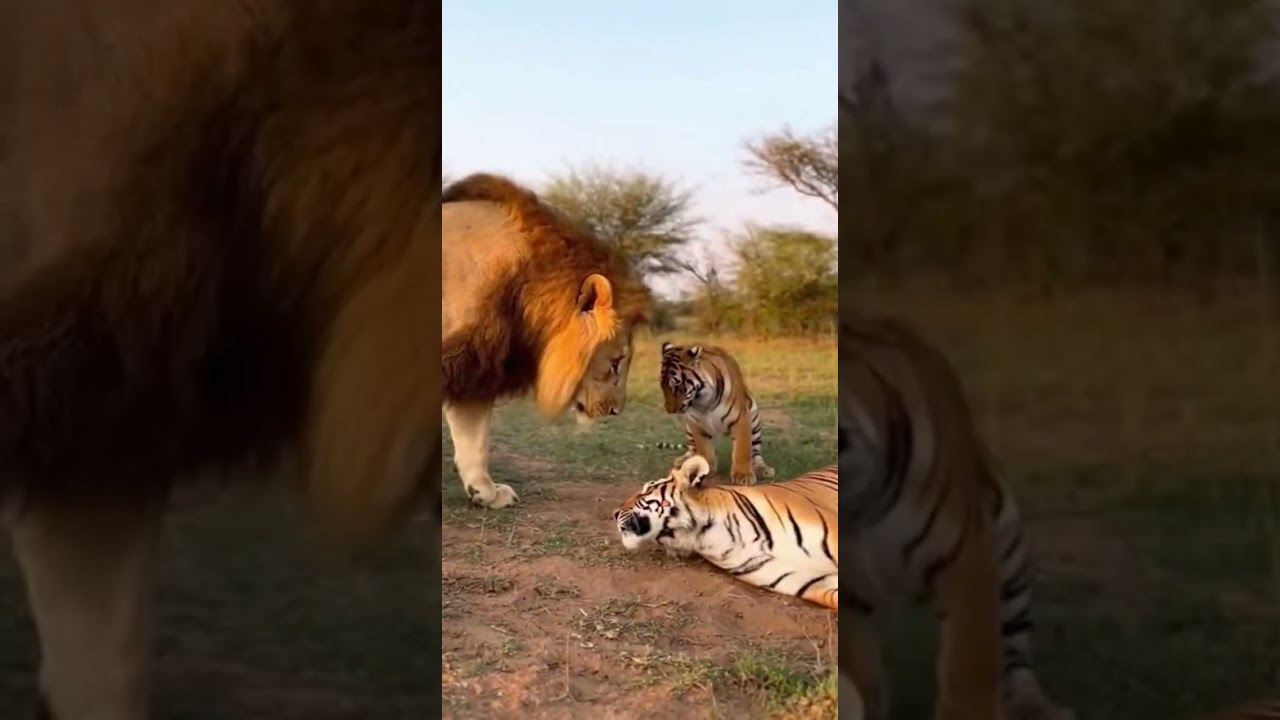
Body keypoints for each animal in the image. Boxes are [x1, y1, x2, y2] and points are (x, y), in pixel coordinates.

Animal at [657, 341, 775, 485]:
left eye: (677, 385)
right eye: (662, 386)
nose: (670, 410)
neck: (703, 402)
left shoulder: (740, 419)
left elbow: (742, 450)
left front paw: (743, 476)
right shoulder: (696, 424)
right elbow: (704, 450)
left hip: (754, 420)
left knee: (755, 453)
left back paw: (763, 469)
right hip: (689, 428)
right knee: (692, 449)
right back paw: (684, 461)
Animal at [839, 311, 1074, 720]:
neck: (859, 510)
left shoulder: (966, 558)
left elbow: (969, 672)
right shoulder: (851, 594)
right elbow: (864, 678)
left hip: (1008, 552)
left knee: (1015, 659)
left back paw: (1037, 709)